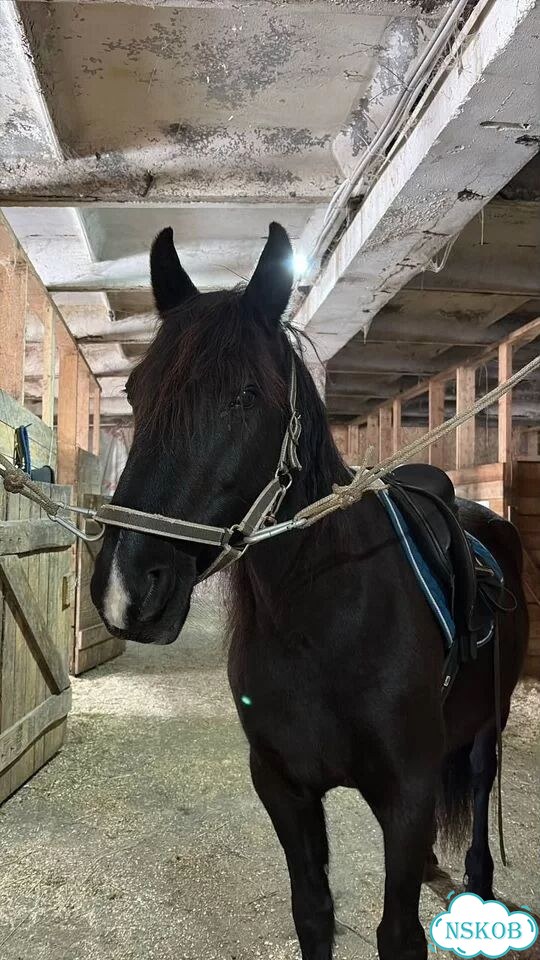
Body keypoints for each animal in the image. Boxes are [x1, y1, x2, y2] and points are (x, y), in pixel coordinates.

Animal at [90, 222, 529, 960]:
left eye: (245, 396)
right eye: (138, 389)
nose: (125, 585)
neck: (328, 626)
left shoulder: (406, 796)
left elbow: (398, 933)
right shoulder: (284, 787)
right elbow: (314, 912)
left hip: (485, 731)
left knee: (476, 794)